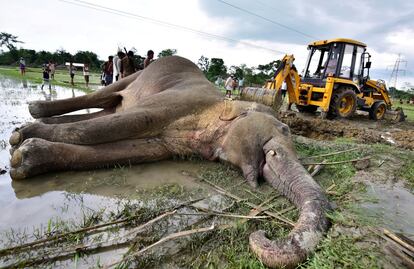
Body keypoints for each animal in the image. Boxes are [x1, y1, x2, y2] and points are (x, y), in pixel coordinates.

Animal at [8, 55, 330, 266]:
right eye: (284, 131)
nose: (259, 231)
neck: (221, 105)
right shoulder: (178, 101)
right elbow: (125, 123)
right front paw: (20, 141)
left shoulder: (172, 143)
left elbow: (136, 149)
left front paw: (24, 158)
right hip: (136, 73)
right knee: (105, 98)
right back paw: (32, 114)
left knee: (108, 109)